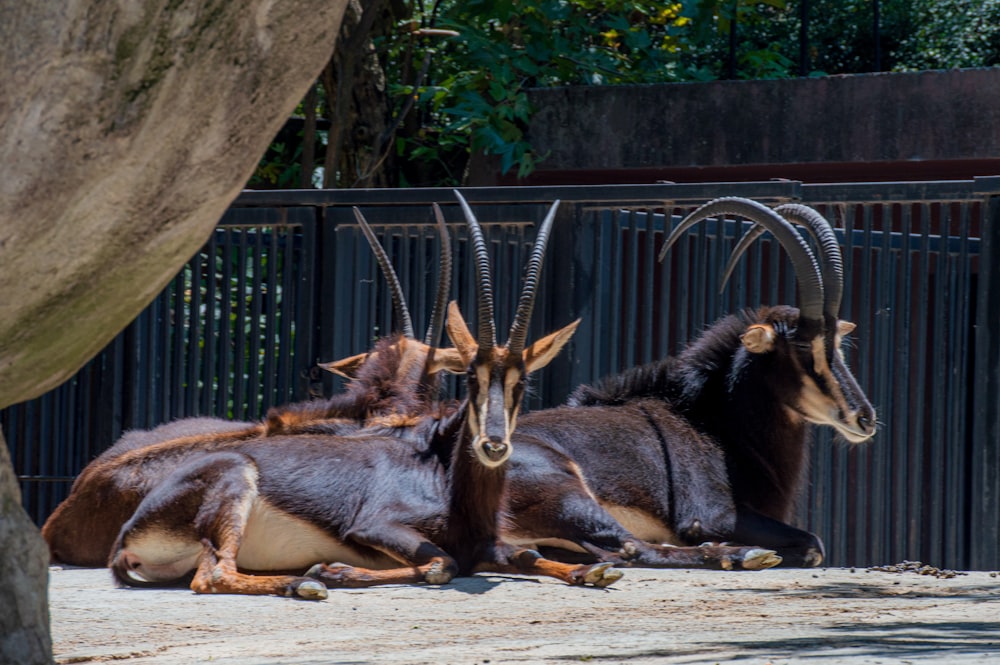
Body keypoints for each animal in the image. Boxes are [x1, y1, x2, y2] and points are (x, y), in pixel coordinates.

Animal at [99, 191, 616, 596]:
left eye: (521, 382)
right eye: (470, 378)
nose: (493, 446)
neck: (440, 469)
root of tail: (125, 536)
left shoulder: (486, 543)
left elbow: (526, 555)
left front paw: (594, 571)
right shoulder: (376, 525)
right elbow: (441, 564)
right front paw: (336, 570)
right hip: (234, 485)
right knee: (212, 575)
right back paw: (305, 582)